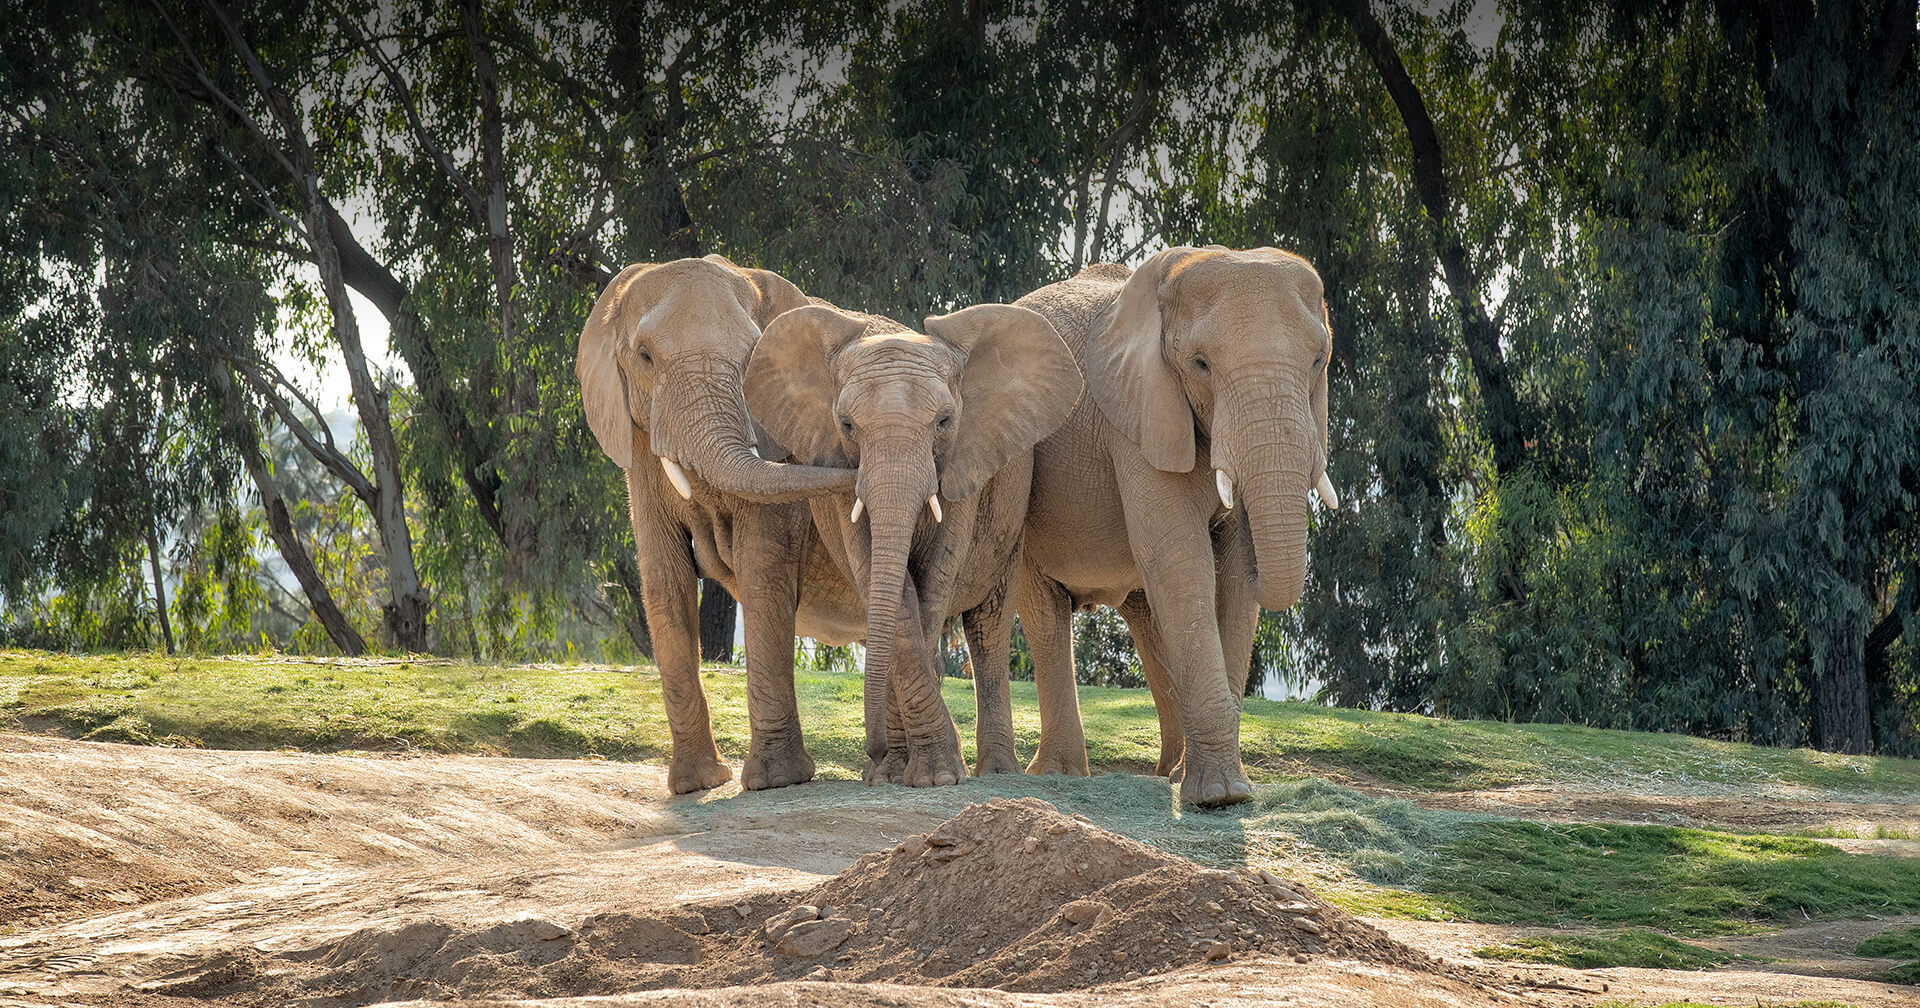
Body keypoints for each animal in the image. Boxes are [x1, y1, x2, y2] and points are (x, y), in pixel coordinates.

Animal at [572, 251, 867, 794]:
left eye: (754, 356)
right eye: (643, 357)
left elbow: (762, 569)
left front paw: (776, 782)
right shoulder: (638, 446)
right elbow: (664, 580)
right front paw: (697, 785)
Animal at [741, 299, 1082, 787]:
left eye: (944, 421)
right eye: (846, 424)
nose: (874, 749)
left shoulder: (963, 462)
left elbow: (933, 579)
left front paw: (934, 777)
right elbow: (888, 583)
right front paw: (896, 774)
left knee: (989, 627)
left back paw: (997, 771)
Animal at [1013, 247, 1344, 806]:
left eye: (1319, 360)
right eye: (1201, 365)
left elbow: (1230, 573)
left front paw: (1226, 792)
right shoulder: (1138, 415)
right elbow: (1181, 559)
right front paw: (1219, 798)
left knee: (1147, 619)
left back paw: (1169, 771)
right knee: (1044, 613)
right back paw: (1059, 775)